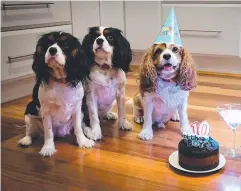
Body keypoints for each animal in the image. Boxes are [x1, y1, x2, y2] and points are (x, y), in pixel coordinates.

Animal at [133, 8, 197, 140]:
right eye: (158, 51)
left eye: (175, 49)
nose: (167, 55)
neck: (168, 81)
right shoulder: (148, 100)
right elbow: (148, 118)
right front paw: (146, 132)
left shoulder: (182, 100)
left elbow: (184, 117)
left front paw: (186, 130)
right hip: (137, 97)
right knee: (136, 109)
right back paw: (138, 116)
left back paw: (175, 115)